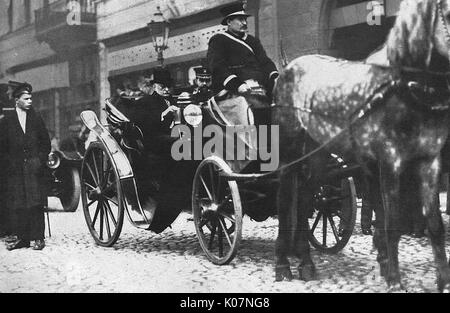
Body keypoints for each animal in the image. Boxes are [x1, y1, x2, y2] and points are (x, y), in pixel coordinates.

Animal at [272, 0, 450, 292]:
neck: (402, 87)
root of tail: (287, 67)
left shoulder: (429, 161)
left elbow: (435, 223)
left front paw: (442, 282)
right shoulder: (389, 162)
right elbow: (391, 221)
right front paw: (394, 281)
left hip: (318, 155)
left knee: (307, 197)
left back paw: (306, 262)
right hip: (290, 151)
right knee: (286, 198)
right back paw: (282, 264)